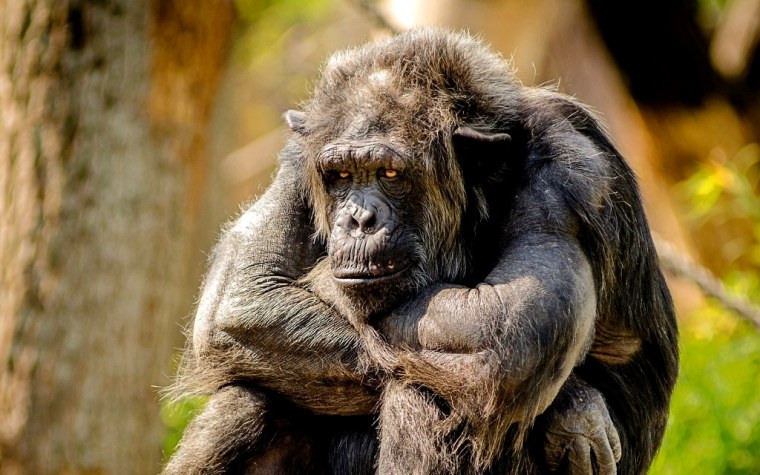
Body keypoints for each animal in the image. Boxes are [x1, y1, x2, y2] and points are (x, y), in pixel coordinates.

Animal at [165, 28, 678, 475]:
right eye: (341, 175)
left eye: (390, 173)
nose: (358, 219)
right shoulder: (299, 156)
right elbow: (241, 297)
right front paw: (575, 405)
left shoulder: (568, 172)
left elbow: (510, 326)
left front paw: (573, 404)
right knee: (248, 398)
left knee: (437, 387)